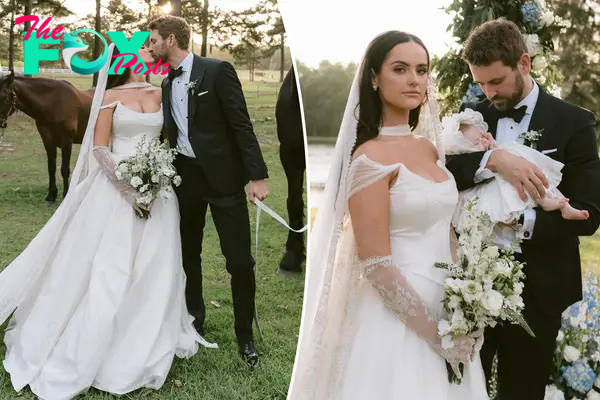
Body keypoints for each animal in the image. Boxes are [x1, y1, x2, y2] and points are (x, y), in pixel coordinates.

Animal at [0, 70, 94, 205]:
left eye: (3, 97)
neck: (53, 103)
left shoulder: (67, 141)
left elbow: (64, 169)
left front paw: (65, 195)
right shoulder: (48, 140)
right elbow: (52, 167)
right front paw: (51, 195)